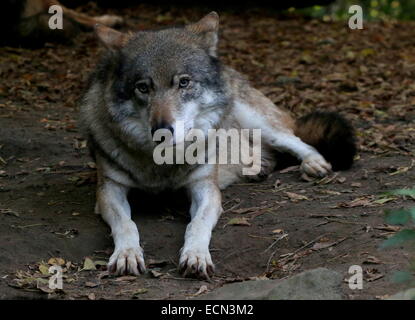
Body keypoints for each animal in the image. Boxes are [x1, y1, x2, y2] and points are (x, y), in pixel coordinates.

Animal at [79, 11, 358, 278]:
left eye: (184, 82)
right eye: (143, 88)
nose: (161, 131)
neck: (163, 165)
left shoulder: (205, 188)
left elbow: (197, 224)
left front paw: (196, 256)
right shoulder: (109, 190)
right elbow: (127, 224)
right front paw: (127, 254)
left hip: (257, 121)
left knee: (295, 140)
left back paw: (314, 164)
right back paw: (258, 168)